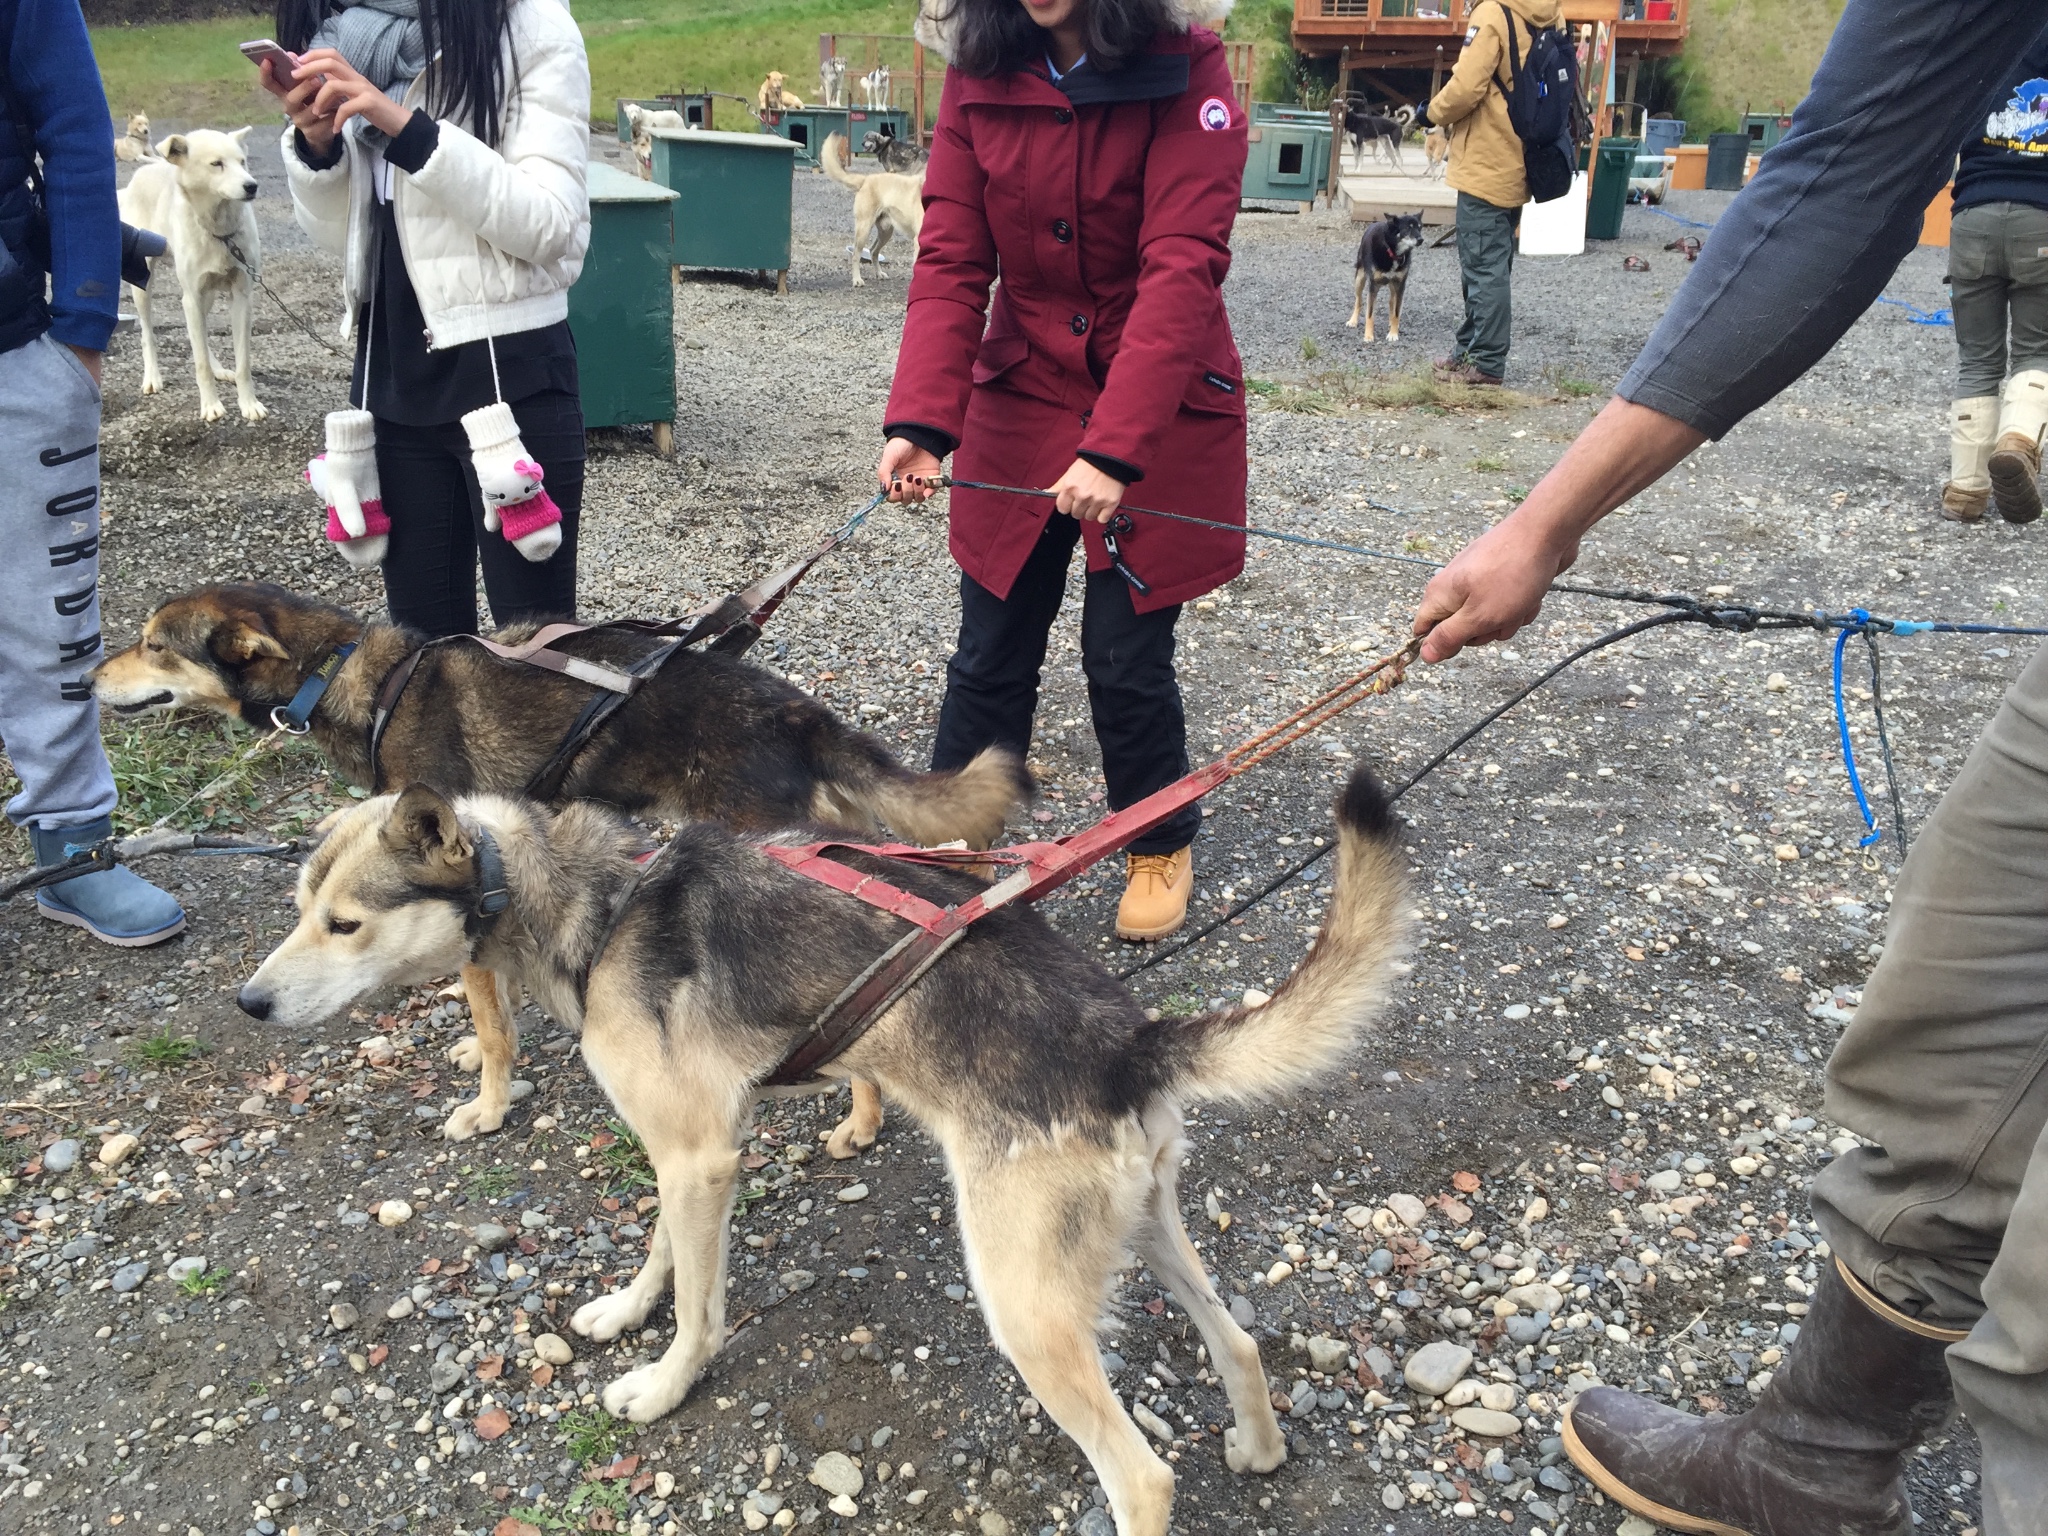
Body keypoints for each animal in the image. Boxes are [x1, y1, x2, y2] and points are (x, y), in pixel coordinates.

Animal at [90, 581, 1032, 1163]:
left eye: (151, 645)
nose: (89, 675)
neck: (352, 672)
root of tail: (803, 713)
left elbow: (493, 1022)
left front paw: (489, 1102)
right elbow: (492, 1004)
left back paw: (860, 1117)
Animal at [117, 126, 268, 423]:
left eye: (242, 161)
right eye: (216, 164)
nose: (252, 186)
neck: (219, 230)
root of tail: (141, 173)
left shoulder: (241, 297)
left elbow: (243, 362)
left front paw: (249, 404)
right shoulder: (192, 296)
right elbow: (200, 364)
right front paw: (211, 405)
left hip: (204, 296)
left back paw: (219, 368)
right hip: (145, 284)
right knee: (148, 334)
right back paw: (152, 377)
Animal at [228, 770, 1409, 1536]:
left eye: (344, 923)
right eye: (298, 909)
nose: (249, 1003)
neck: (593, 897)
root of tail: (1130, 1040)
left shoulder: (700, 1157)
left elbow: (699, 1310)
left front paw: (662, 1387)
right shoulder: (684, 1150)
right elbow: (660, 1256)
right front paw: (622, 1314)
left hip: (1024, 1306)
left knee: (1143, 1481)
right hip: (1143, 1231)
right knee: (1239, 1342)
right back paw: (1257, 1447)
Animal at [819, 131, 925, 286]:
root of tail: (866, 179)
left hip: (886, 232)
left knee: (873, 251)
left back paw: (879, 273)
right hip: (863, 229)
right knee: (857, 255)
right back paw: (857, 280)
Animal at [1343, 208, 1425, 342]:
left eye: (1420, 227)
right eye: (1408, 228)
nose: (1421, 239)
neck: (1392, 252)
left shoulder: (1400, 285)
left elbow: (1397, 311)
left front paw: (1393, 333)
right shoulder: (1373, 287)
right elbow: (1370, 314)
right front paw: (1368, 336)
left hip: (1393, 286)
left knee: (1391, 302)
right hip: (1359, 278)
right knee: (1358, 300)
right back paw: (1353, 320)